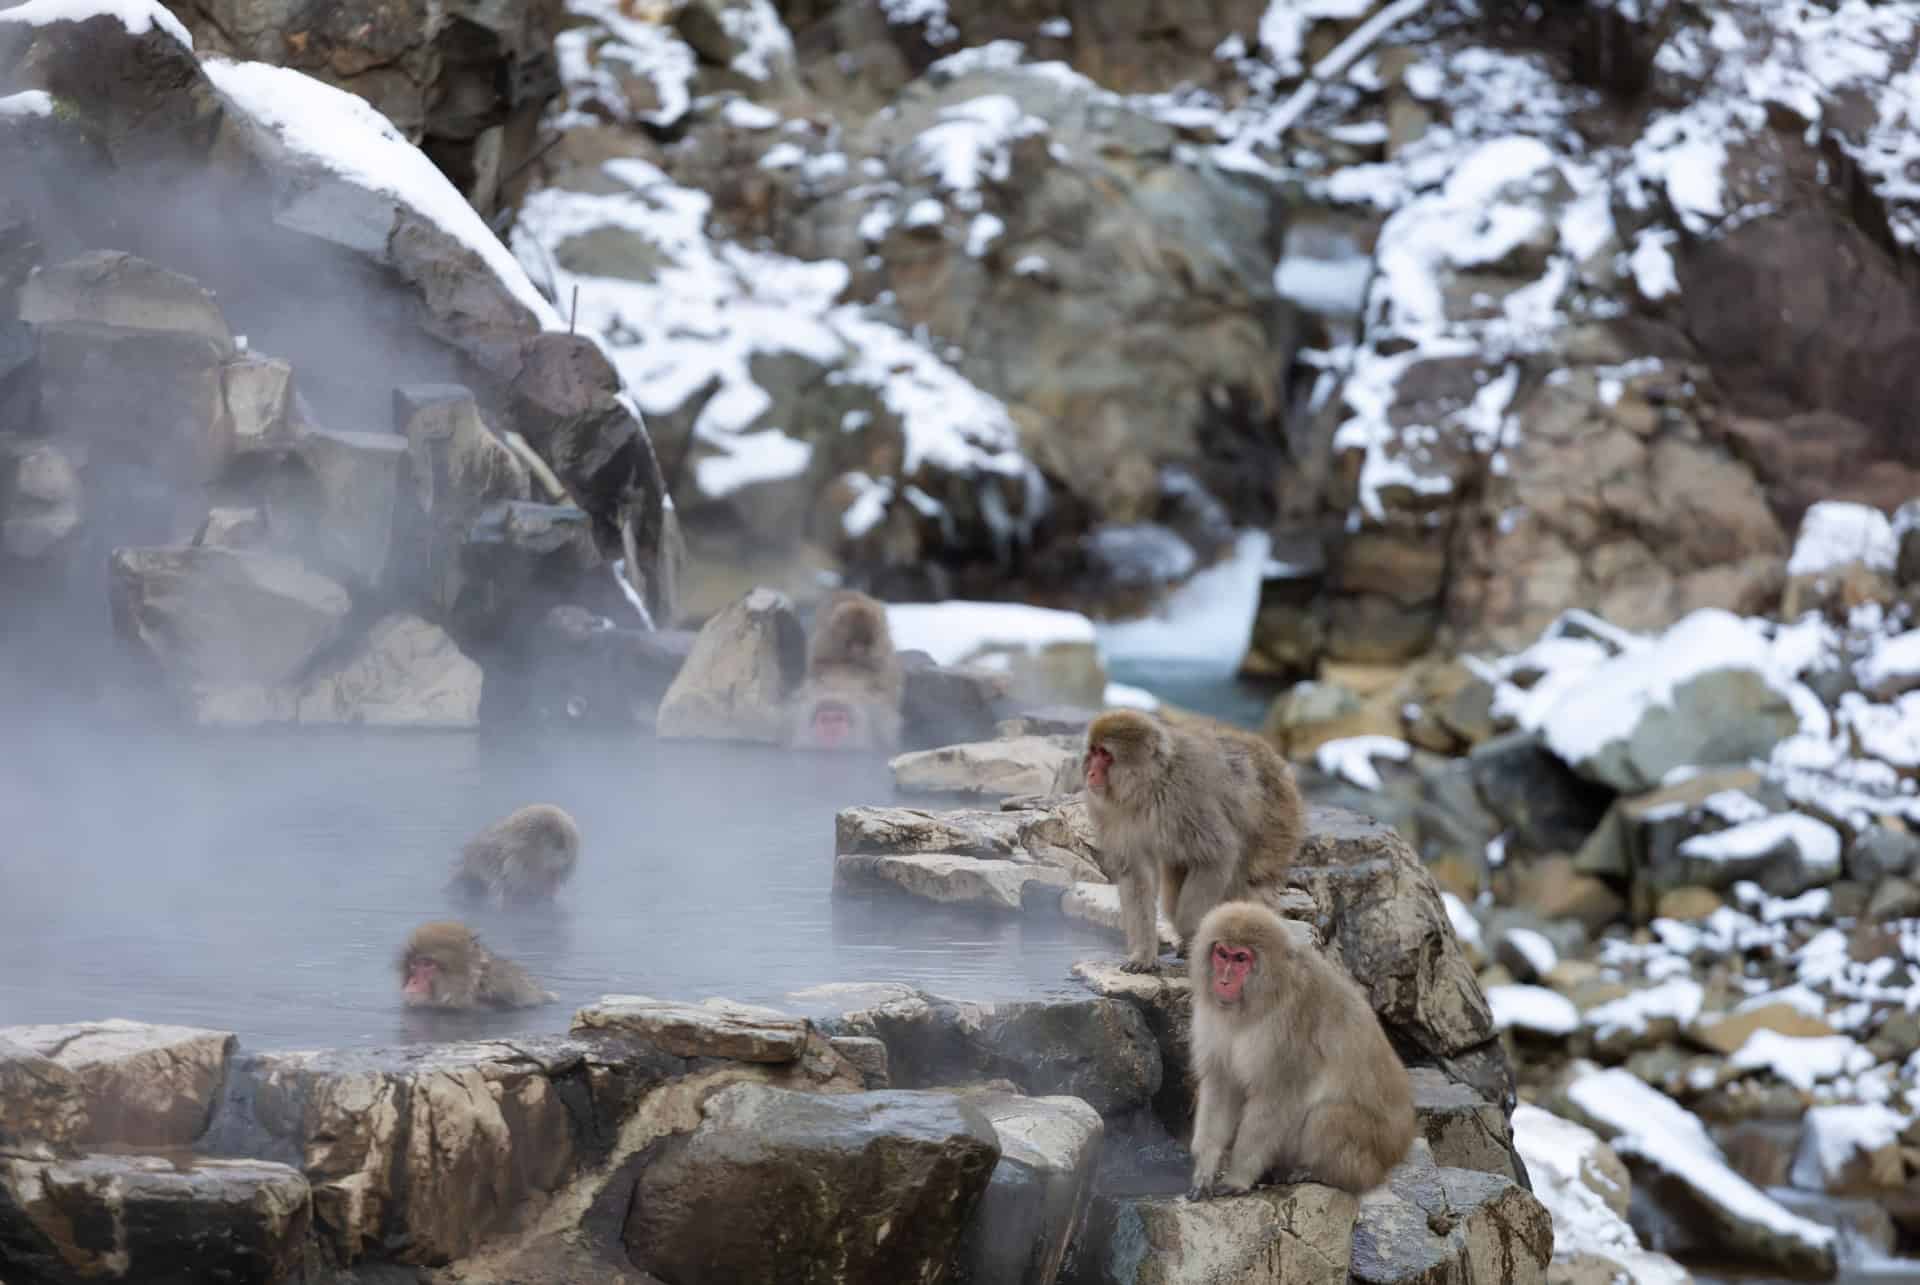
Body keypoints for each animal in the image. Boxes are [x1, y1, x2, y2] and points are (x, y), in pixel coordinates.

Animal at [1082, 709, 1303, 972]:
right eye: (1094, 751)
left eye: (1105, 754)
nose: (1091, 773)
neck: (1147, 788)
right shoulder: (1112, 813)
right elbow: (1136, 875)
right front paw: (1143, 955)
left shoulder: (1186, 798)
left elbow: (1217, 856)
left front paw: (1191, 933)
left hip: (1276, 825)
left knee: (1248, 883)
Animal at [1186, 901, 1415, 1198]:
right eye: (1222, 953)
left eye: (1241, 959)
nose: (1223, 981)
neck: (1262, 998)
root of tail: (1398, 1150)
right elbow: (1222, 1083)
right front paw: (1205, 1169)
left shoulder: (1290, 1029)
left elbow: (1276, 1098)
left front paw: (1238, 1178)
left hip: (1372, 1149)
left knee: (1327, 1116)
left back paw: (1323, 1173)